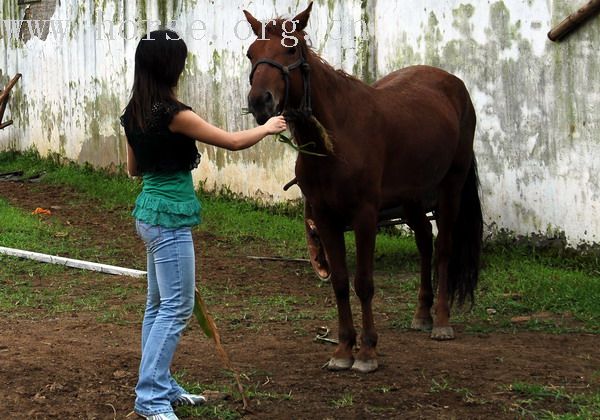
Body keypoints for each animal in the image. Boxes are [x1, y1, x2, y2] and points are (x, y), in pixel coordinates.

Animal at [241, 1, 480, 372]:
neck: (335, 138)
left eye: (291, 48)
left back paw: (441, 320)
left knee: (443, 248)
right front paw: (343, 349)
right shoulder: (324, 218)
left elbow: (363, 283)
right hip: (411, 197)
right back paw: (422, 313)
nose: (259, 102)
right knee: (425, 243)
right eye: (252, 54)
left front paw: (367, 352)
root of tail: (453, 84)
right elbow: (340, 282)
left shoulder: (365, 216)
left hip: (450, 187)